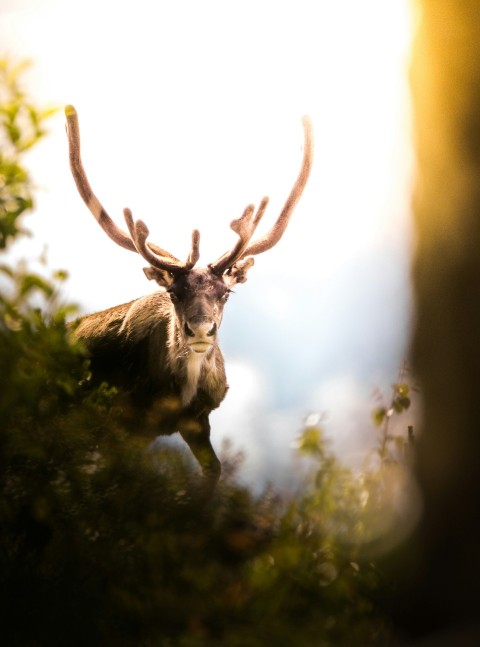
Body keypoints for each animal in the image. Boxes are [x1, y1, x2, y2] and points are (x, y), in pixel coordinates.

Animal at [65, 106, 314, 492]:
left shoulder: (197, 419)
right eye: (173, 292)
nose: (200, 330)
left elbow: (214, 471)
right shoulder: (121, 424)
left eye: (226, 292)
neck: (177, 393)